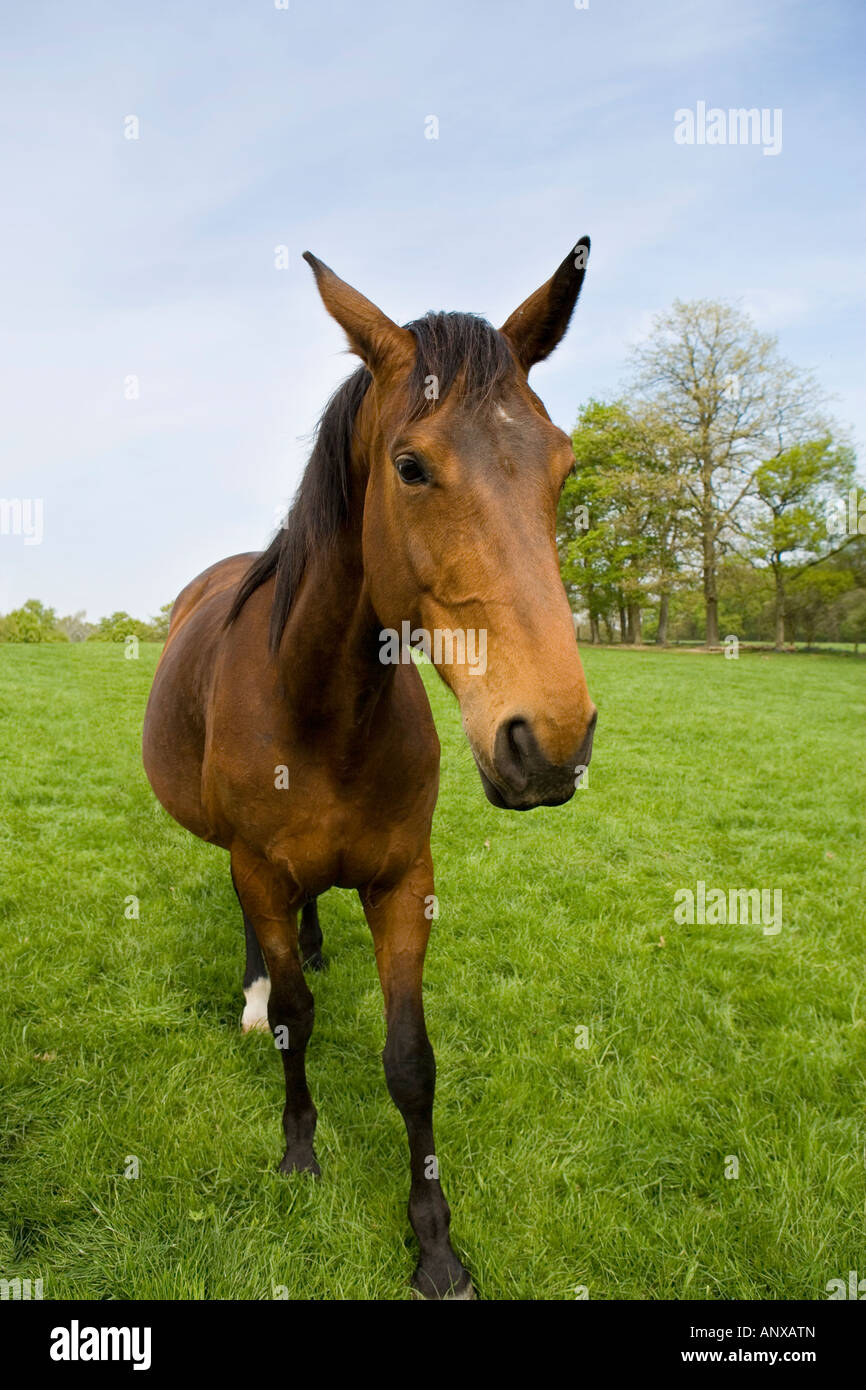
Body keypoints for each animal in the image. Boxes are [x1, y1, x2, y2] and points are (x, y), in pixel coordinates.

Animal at [143, 236, 603, 1289]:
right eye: (411, 466)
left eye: (562, 465)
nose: (550, 744)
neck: (322, 710)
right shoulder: (260, 868)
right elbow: (296, 1018)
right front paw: (300, 1154)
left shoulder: (403, 882)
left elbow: (410, 1061)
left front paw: (434, 1244)